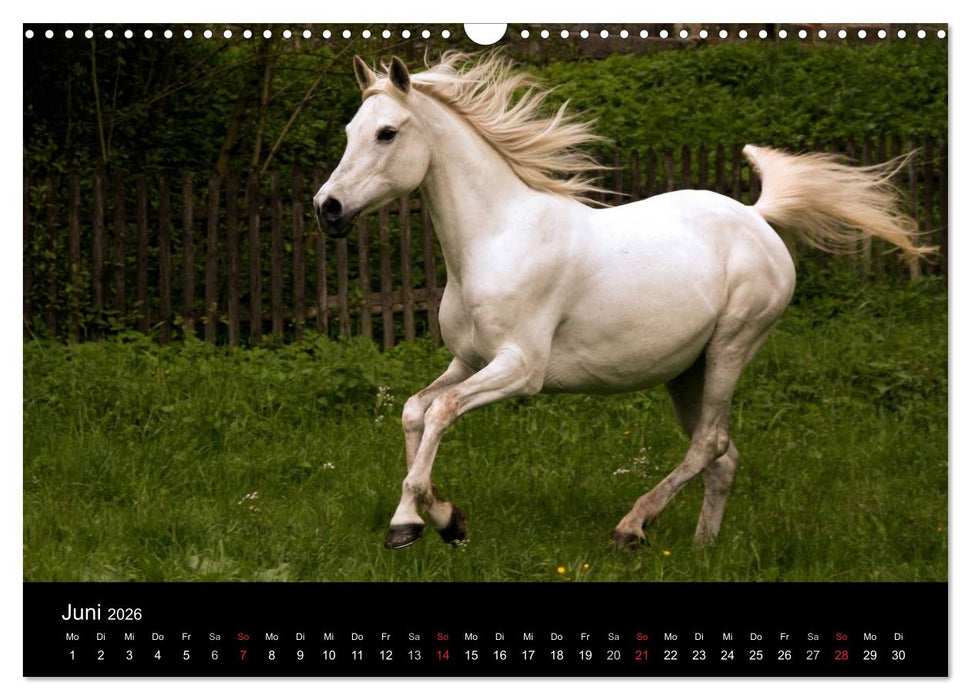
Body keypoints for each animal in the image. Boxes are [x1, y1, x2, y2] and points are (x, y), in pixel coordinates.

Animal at [313, 52, 931, 550]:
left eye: (387, 133)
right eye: (350, 129)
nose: (328, 208)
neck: (495, 238)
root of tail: (757, 217)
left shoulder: (520, 368)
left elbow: (440, 411)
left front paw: (425, 521)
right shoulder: (468, 360)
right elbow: (414, 410)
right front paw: (426, 520)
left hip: (733, 347)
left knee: (710, 443)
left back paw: (632, 527)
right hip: (687, 372)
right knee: (723, 455)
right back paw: (702, 548)